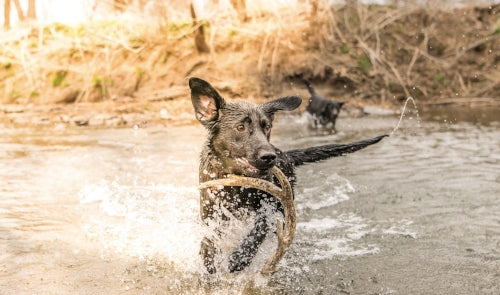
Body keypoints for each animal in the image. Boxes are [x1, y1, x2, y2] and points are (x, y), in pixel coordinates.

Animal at [188, 77, 386, 276]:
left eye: (267, 126)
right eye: (240, 127)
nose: (270, 157)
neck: (235, 183)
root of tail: (287, 156)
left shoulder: (270, 206)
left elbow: (259, 227)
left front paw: (241, 256)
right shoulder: (210, 214)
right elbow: (209, 241)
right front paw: (208, 262)